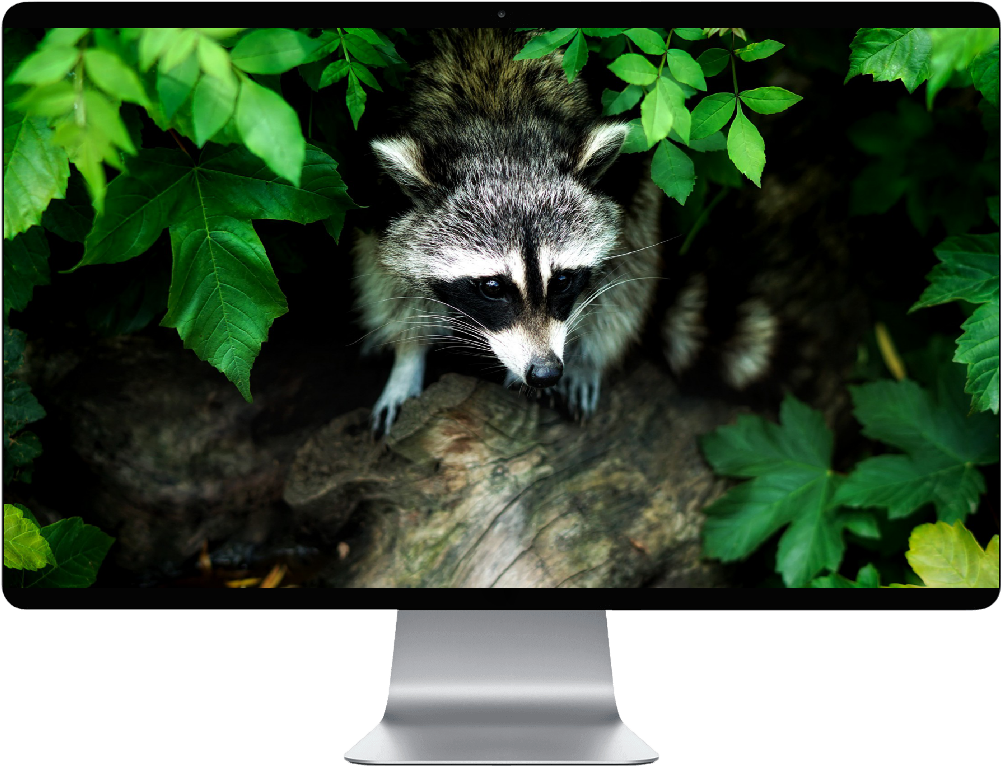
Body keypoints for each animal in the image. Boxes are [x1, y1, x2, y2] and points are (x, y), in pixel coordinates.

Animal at [355, 28, 662, 435]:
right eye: (492, 287)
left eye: (562, 280)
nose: (545, 372)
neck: (500, 119)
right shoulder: (379, 195)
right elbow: (388, 275)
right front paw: (407, 357)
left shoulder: (625, 177)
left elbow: (623, 266)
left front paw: (583, 358)